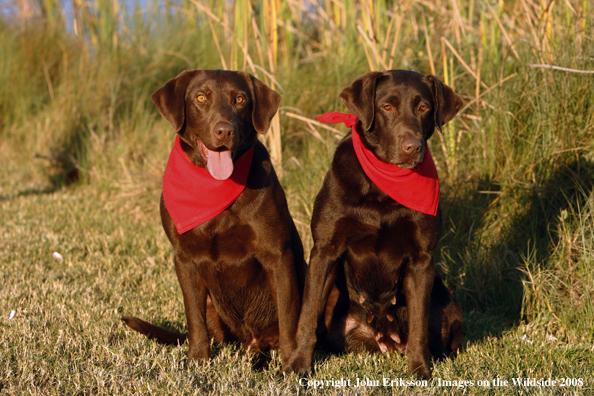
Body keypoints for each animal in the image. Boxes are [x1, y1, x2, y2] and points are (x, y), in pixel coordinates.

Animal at [286, 69, 462, 378]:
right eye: (387, 106)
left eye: (424, 108)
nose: (412, 147)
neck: (384, 186)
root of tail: (383, 339)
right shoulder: (324, 251)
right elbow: (306, 318)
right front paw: (297, 366)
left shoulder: (422, 261)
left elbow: (418, 326)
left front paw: (419, 370)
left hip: (447, 301)